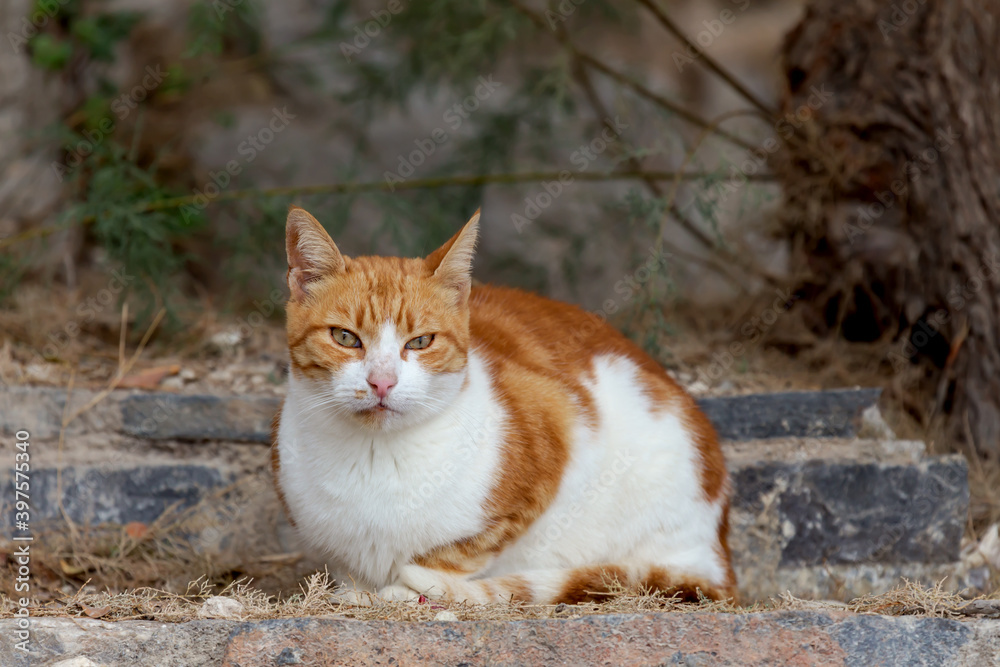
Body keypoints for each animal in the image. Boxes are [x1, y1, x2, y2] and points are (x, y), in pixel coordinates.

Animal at [272, 207, 736, 604]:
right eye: (345, 337)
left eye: (420, 342)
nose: (382, 381)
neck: (375, 457)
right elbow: (352, 570)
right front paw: (358, 592)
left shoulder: (557, 423)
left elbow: (458, 553)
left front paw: (410, 586)